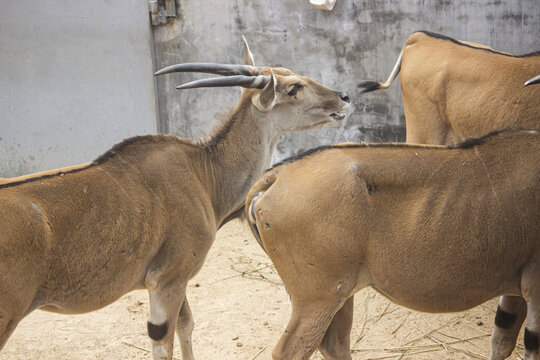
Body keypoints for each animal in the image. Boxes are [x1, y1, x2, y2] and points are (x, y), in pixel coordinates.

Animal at [0, 39, 350, 360]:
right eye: (293, 88)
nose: (343, 97)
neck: (202, 170)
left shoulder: (177, 284)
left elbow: (186, 324)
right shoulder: (167, 281)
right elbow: (164, 342)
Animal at [247, 128, 540, 358]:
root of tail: (276, 175)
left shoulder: (515, 292)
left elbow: (501, 341)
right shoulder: (535, 290)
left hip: (341, 294)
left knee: (334, 343)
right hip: (318, 298)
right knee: (291, 350)